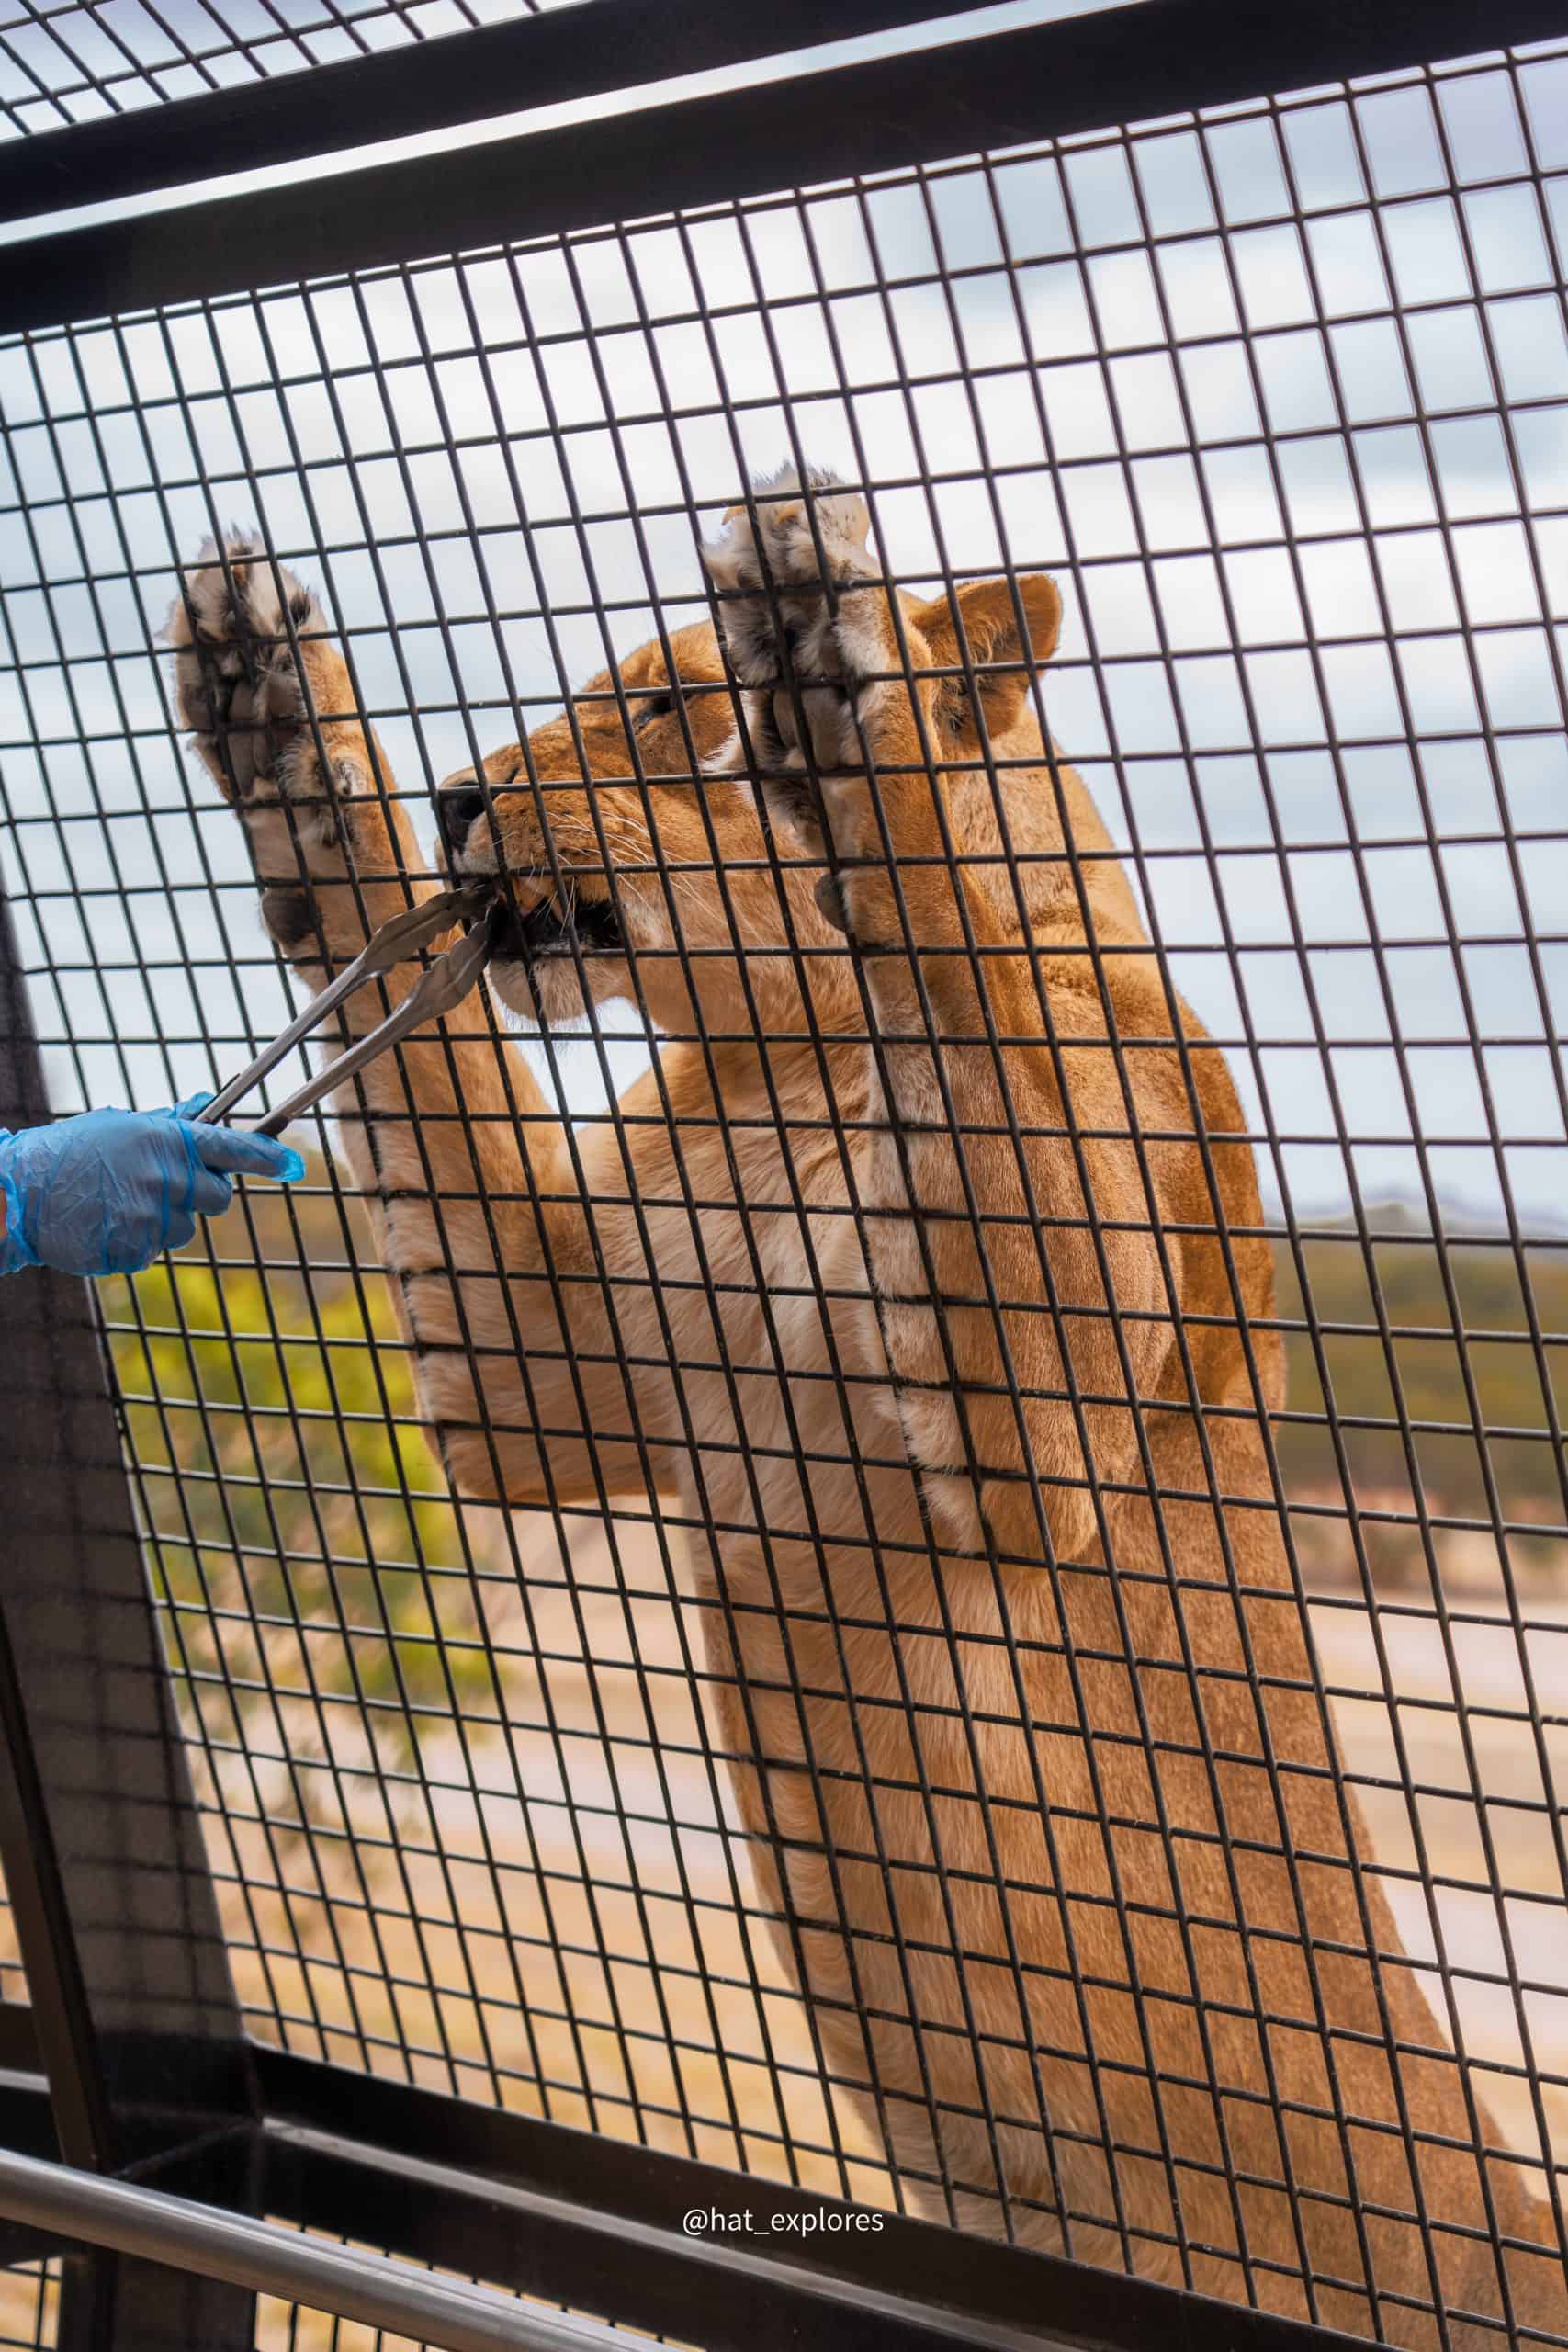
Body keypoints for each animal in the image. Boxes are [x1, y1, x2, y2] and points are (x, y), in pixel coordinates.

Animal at [168, 468, 1565, 2347]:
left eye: (666, 707)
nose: (471, 791)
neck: (784, 1060)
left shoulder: (1039, 1428)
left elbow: (963, 991)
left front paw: (827, 676)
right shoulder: (541, 1373)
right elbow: (416, 1029)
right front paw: (277, 713)